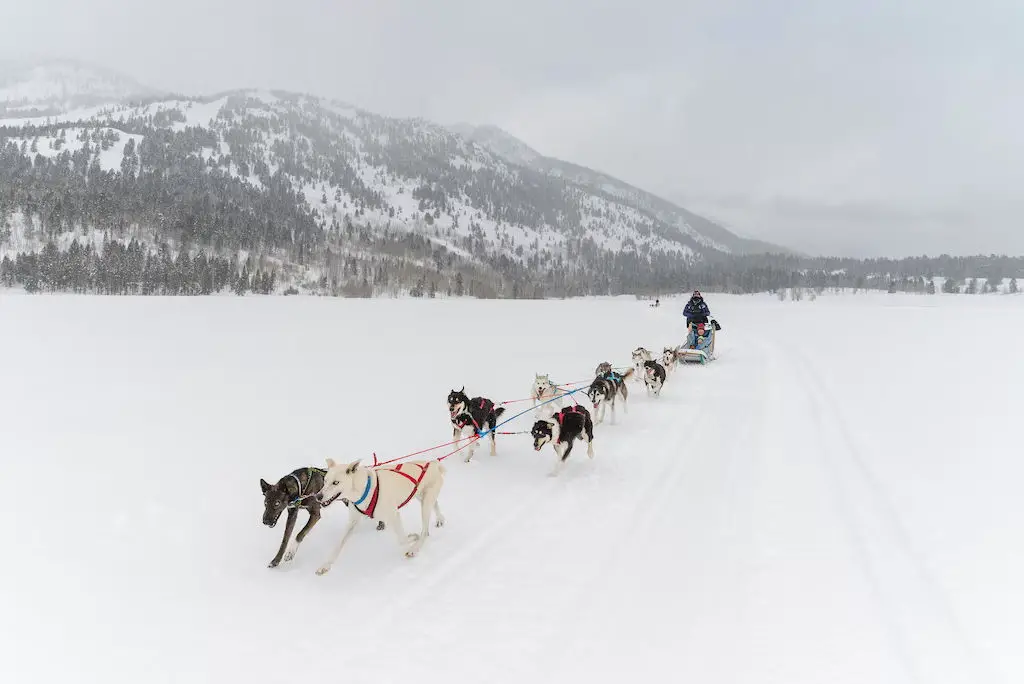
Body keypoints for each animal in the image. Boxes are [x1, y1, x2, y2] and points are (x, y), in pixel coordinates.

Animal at [313, 456, 446, 573]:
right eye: (325, 481)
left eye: (336, 482)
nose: (317, 496)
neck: (364, 489)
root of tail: (433, 464)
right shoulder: (352, 522)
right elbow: (338, 545)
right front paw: (326, 565)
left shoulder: (394, 515)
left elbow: (402, 540)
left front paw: (413, 537)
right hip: (420, 497)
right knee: (435, 504)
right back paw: (440, 519)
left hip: (425, 504)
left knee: (425, 530)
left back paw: (415, 548)